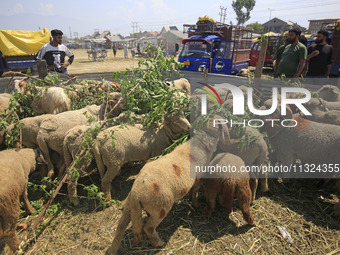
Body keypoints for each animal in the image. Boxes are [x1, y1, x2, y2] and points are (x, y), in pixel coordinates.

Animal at [106, 116, 232, 254]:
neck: (202, 146)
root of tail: (136, 192)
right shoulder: (198, 178)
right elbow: (194, 192)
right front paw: (196, 205)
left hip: (131, 206)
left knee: (121, 226)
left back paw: (112, 249)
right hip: (161, 206)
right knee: (148, 228)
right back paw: (159, 243)